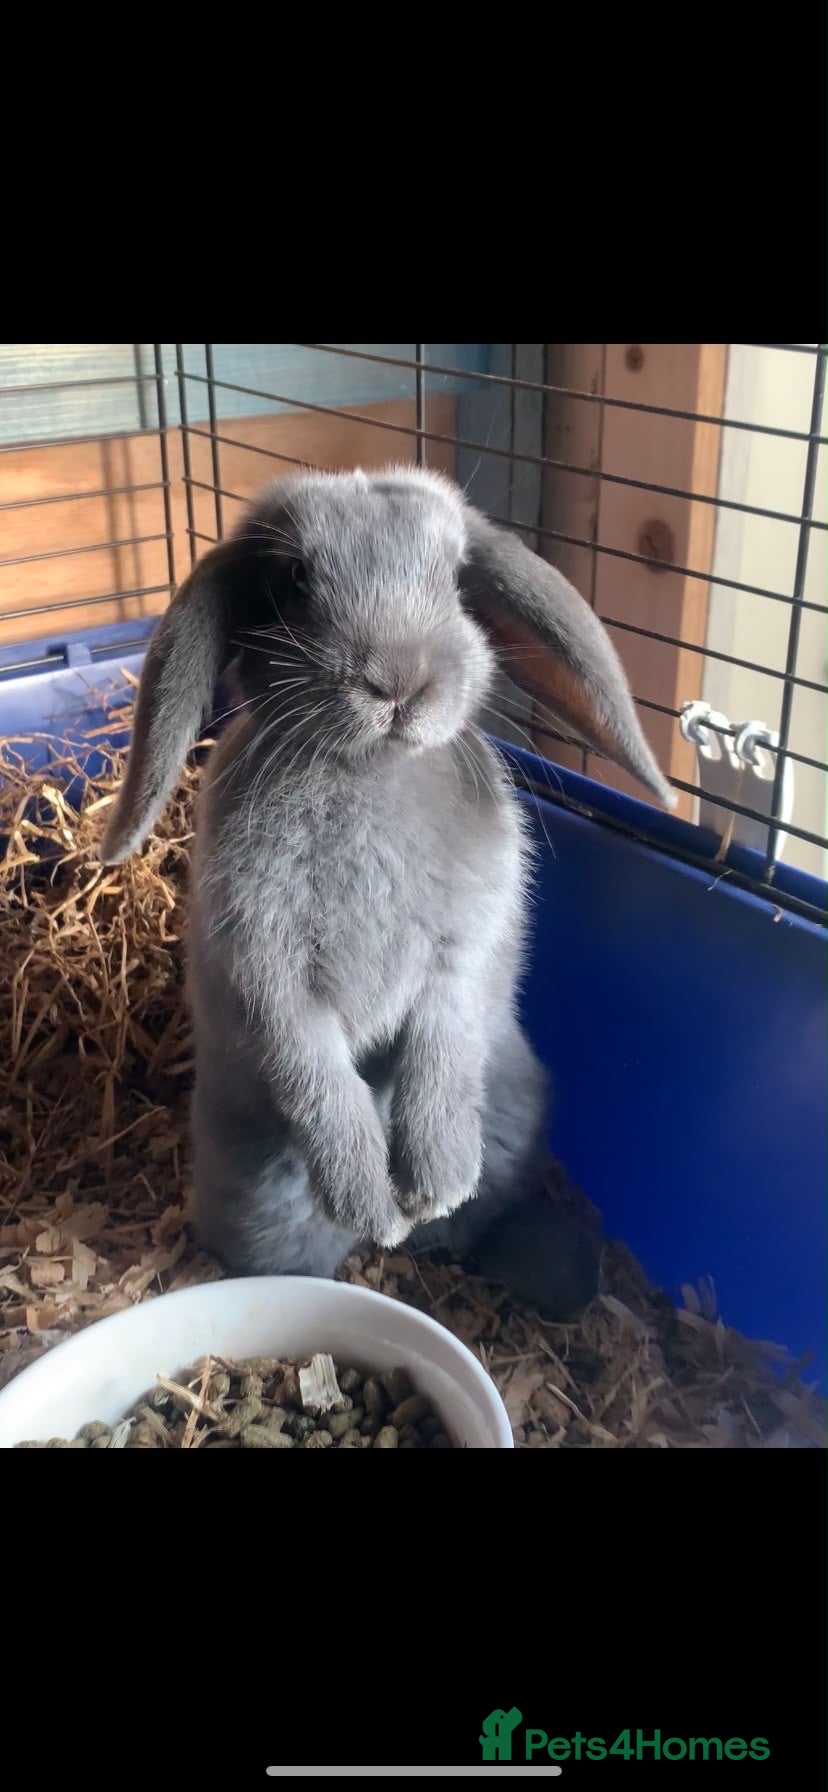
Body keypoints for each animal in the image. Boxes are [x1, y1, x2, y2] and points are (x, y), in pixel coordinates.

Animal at [101, 466, 673, 1315]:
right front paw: (375, 1201)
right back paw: (382, 1234)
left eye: (457, 581)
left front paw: (435, 1182)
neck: (369, 770)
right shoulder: (267, 972)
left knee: (476, 1220)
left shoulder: (463, 954)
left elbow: (441, 1046)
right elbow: (314, 1073)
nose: (399, 680)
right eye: (294, 580)